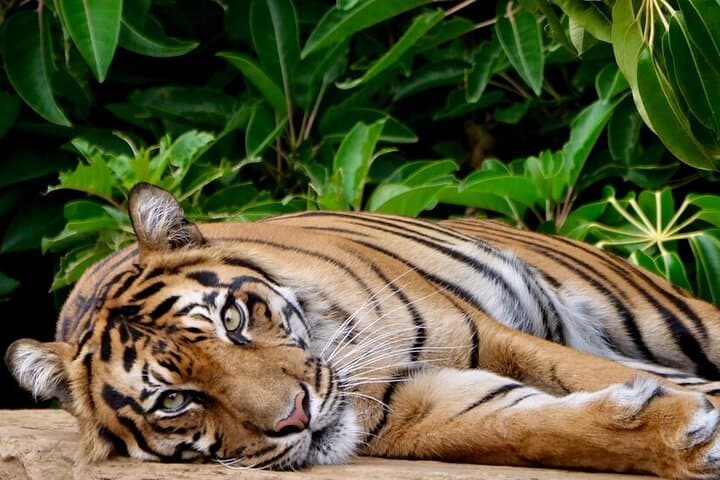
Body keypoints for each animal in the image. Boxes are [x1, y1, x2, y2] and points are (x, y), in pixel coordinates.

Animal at [6, 182, 720, 479]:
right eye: (176, 400)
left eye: (233, 320)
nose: (296, 416)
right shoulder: (422, 409)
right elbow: (529, 430)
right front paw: (682, 436)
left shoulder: (488, 334)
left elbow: (580, 371)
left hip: (663, 315)